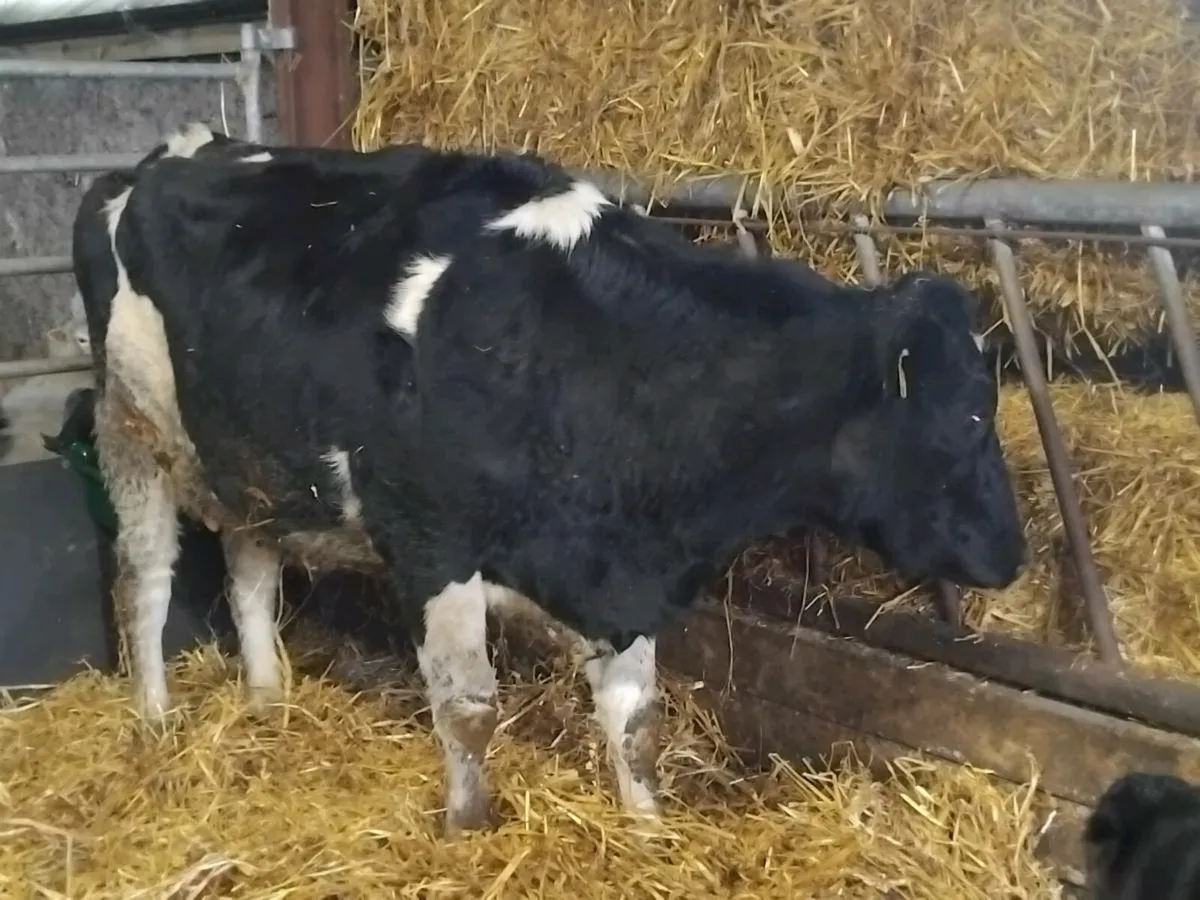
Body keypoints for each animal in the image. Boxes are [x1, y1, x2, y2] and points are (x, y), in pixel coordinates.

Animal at [73, 122, 1025, 833]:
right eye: (971, 419)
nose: (1013, 555)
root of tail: (174, 152)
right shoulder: (433, 545)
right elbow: (469, 708)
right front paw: (468, 828)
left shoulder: (625, 574)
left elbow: (635, 719)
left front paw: (646, 828)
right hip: (128, 427)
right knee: (143, 580)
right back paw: (153, 720)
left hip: (243, 458)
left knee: (250, 572)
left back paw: (268, 700)